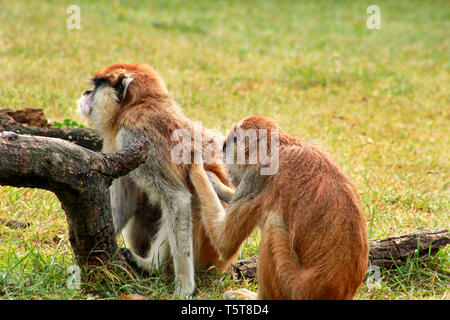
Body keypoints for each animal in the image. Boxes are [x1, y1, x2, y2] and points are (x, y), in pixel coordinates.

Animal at [77, 63, 239, 296]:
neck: (137, 105)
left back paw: (149, 265)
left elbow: (179, 198)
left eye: (98, 85)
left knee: (193, 199)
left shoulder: (135, 137)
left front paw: (183, 288)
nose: (86, 93)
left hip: (210, 249)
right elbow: (123, 202)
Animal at [190, 117, 370, 300]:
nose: (224, 146)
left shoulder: (258, 176)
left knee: (273, 223)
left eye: (232, 140)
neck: (276, 146)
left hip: (291, 287)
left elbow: (225, 244)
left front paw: (197, 166)